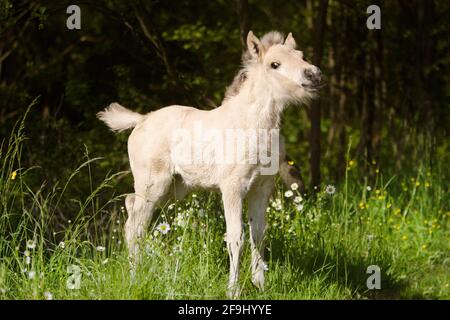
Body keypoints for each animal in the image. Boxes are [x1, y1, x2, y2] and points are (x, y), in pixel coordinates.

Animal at [99, 30, 320, 298]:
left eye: (301, 55)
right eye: (274, 64)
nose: (313, 74)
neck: (252, 126)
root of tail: (141, 120)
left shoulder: (262, 188)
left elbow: (259, 234)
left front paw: (260, 286)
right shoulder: (232, 187)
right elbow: (236, 237)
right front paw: (233, 291)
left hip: (173, 188)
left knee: (132, 209)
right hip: (153, 184)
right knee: (135, 225)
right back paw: (135, 279)